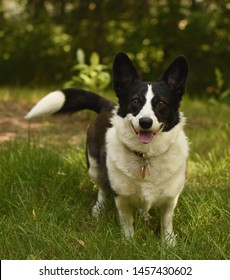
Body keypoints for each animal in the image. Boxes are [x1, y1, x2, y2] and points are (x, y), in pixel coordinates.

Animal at [25, 52, 189, 245]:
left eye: (162, 103)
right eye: (135, 101)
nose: (145, 122)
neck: (145, 156)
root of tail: (108, 106)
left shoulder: (170, 199)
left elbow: (166, 221)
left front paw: (169, 243)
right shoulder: (121, 197)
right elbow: (127, 221)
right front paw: (129, 242)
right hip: (94, 168)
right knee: (102, 190)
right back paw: (98, 210)